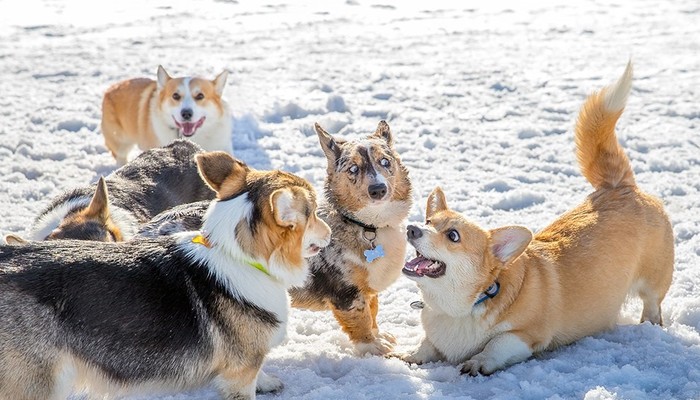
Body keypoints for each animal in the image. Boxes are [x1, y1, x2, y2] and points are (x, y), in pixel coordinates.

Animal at [288, 120, 412, 354]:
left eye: (385, 161)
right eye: (353, 168)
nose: (378, 189)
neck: (369, 225)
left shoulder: (367, 290)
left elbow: (373, 310)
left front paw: (381, 336)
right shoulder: (347, 291)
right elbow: (361, 317)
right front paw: (373, 348)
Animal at [402, 61, 676, 374]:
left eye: (453, 235)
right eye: (428, 223)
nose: (411, 229)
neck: (461, 308)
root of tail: (619, 186)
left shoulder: (527, 335)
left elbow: (497, 343)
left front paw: (477, 362)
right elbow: (426, 345)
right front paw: (409, 355)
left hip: (655, 280)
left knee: (653, 303)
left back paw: (649, 326)